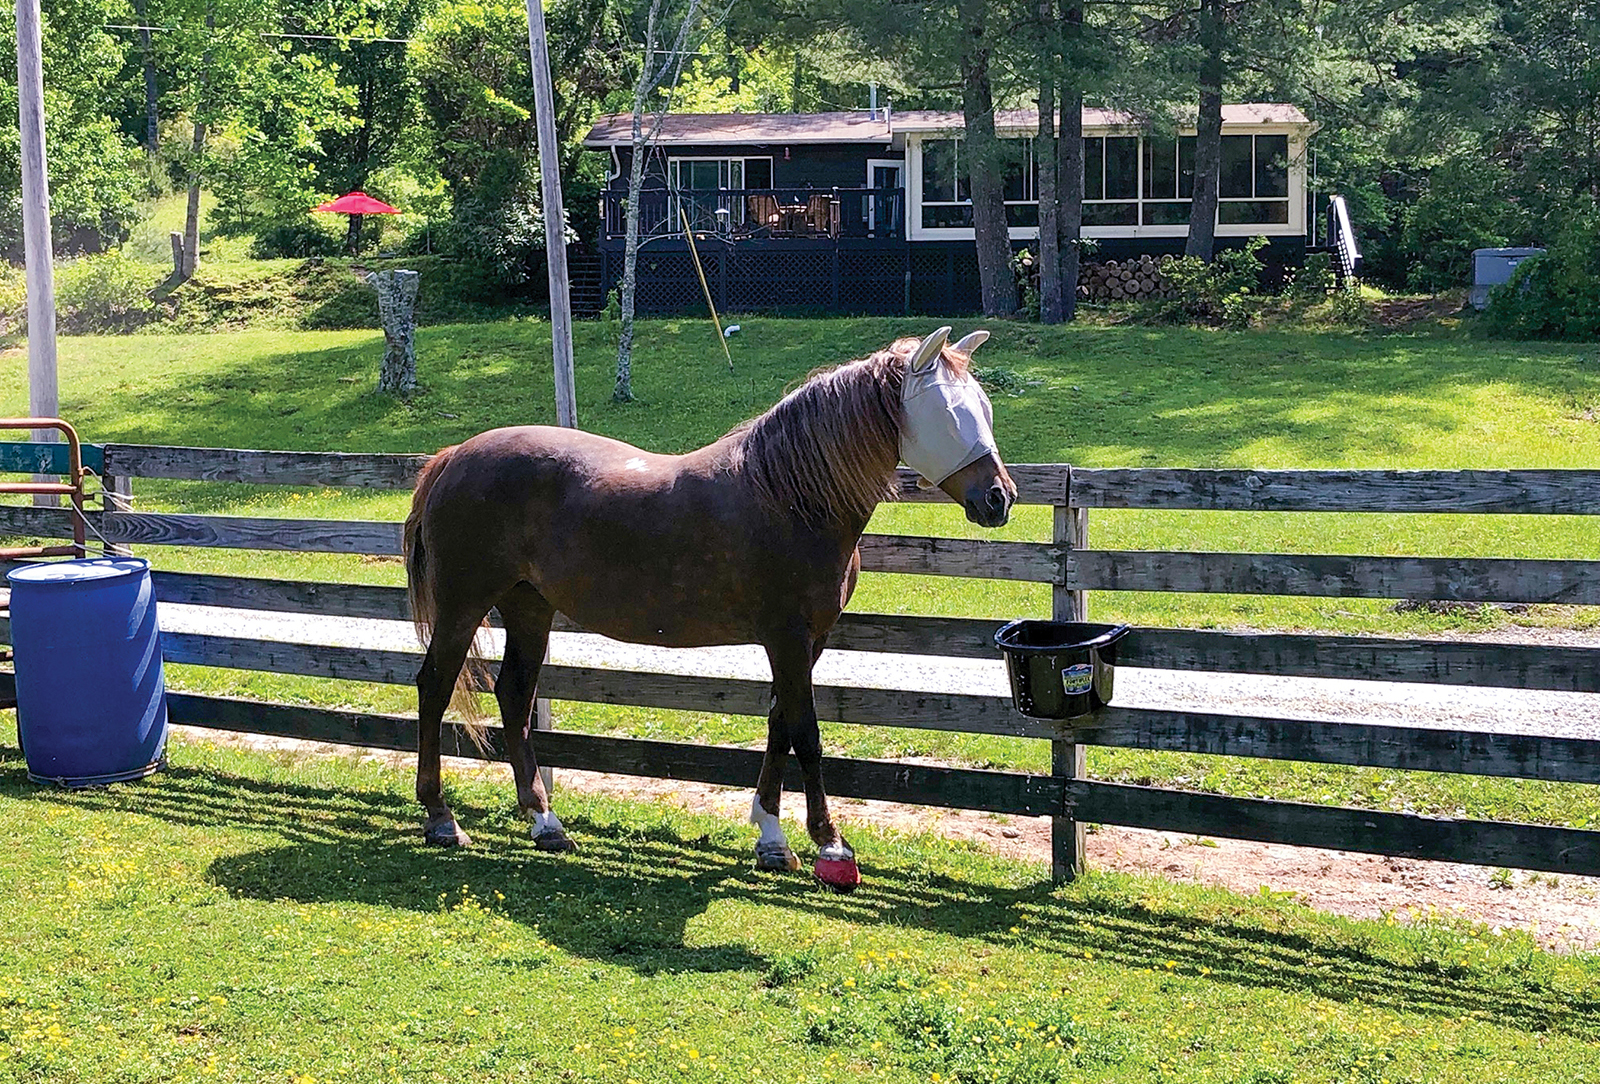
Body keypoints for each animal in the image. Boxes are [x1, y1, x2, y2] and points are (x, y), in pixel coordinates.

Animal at [406, 324, 1017, 888]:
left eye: (985, 409)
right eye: (949, 413)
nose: (1000, 499)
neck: (790, 496)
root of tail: (454, 457)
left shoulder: (807, 642)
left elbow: (779, 723)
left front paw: (772, 838)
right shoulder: (787, 637)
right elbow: (807, 733)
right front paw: (830, 843)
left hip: (529, 608)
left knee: (514, 695)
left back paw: (545, 822)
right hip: (463, 606)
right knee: (435, 686)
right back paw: (441, 818)